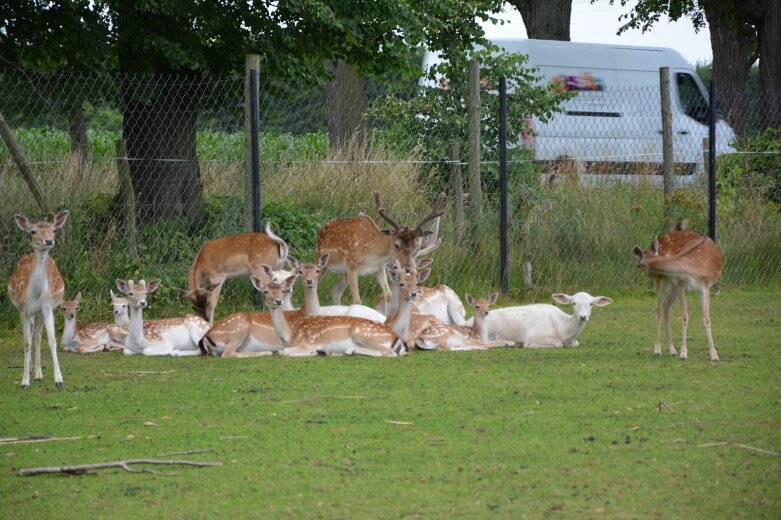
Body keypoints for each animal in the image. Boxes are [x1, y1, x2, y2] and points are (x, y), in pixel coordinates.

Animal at [7, 209, 68, 388]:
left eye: (54, 230)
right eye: (33, 231)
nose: (48, 240)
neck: (34, 294)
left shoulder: (47, 308)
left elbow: (52, 340)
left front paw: (59, 380)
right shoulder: (22, 310)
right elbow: (26, 343)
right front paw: (24, 381)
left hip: (40, 313)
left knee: (38, 336)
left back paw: (39, 374)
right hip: (31, 313)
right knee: (33, 335)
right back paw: (32, 373)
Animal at [314, 191, 442, 312]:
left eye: (415, 245)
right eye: (396, 245)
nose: (408, 268)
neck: (372, 254)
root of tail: (322, 229)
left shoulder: (379, 269)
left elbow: (388, 293)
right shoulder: (351, 266)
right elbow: (357, 300)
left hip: (343, 273)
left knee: (335, 292)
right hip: (321, 260)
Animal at [466, 290, 612, 348]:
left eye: (591, 303)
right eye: (573, 303)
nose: (583, 316)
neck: (562, 328)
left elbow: (576, 343)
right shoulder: (535, 334)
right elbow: (558, 343)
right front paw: (527, 345)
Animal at [632, 223, 724, 362]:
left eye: (639, 265)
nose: (649, 274)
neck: (694, 268)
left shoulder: (705, 286)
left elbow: (707, 319)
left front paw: (714, 355)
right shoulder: (682, 285)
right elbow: (684, 317)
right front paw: (684, 353)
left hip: (672, 285)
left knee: (666, 307)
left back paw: (672, 350)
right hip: (663, 279)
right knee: (658, 308)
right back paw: (658, 350)